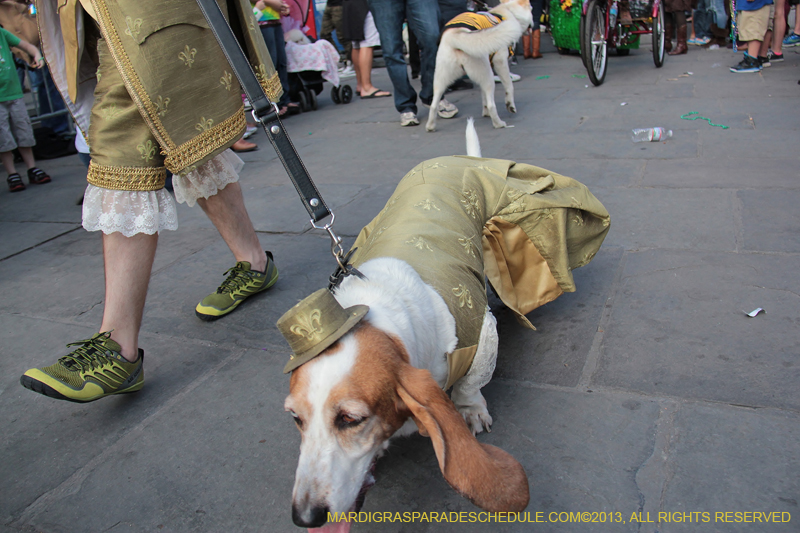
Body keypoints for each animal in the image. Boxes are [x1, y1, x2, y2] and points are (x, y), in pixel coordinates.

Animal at [424, 0, 532, 131]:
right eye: (532, 9)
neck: (507, 12)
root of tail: (456, 35)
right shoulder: (500, 62)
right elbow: (509, 86)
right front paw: (510, 105)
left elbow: (483, 95)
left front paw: (485, 113)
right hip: (488, 77)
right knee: (491, 104)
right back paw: (498, 123)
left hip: (440, 79)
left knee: (433, 104)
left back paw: (430, 126)